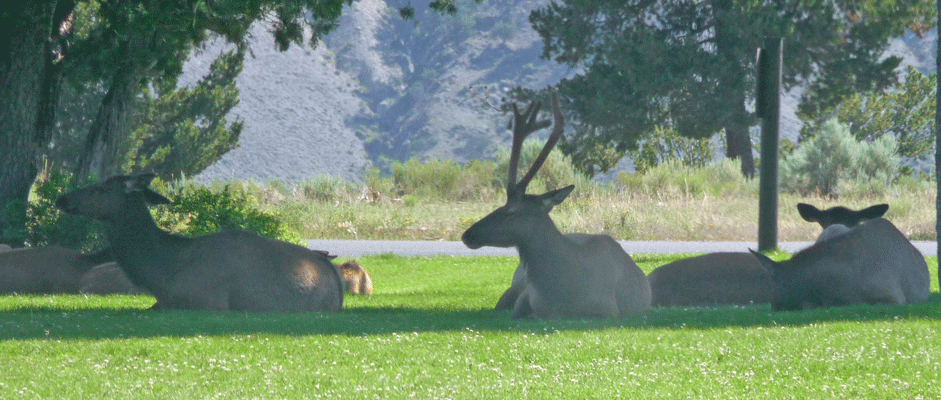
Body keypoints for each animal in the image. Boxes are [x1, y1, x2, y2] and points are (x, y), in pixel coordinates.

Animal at [458, 93, 648, 318]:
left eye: (511, 211)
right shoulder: (522, 303)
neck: (559, 298)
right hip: (514, 285)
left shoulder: (608, 310)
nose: (467, 234)